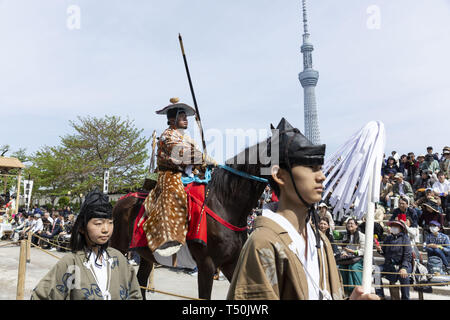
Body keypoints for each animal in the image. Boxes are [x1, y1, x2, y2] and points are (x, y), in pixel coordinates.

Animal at [109, 140, 270, 300]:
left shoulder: (231, 263)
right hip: (118, 246)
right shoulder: (207, 264)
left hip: (146, 254)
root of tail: (119, 202)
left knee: (141, 280)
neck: (224, 204)